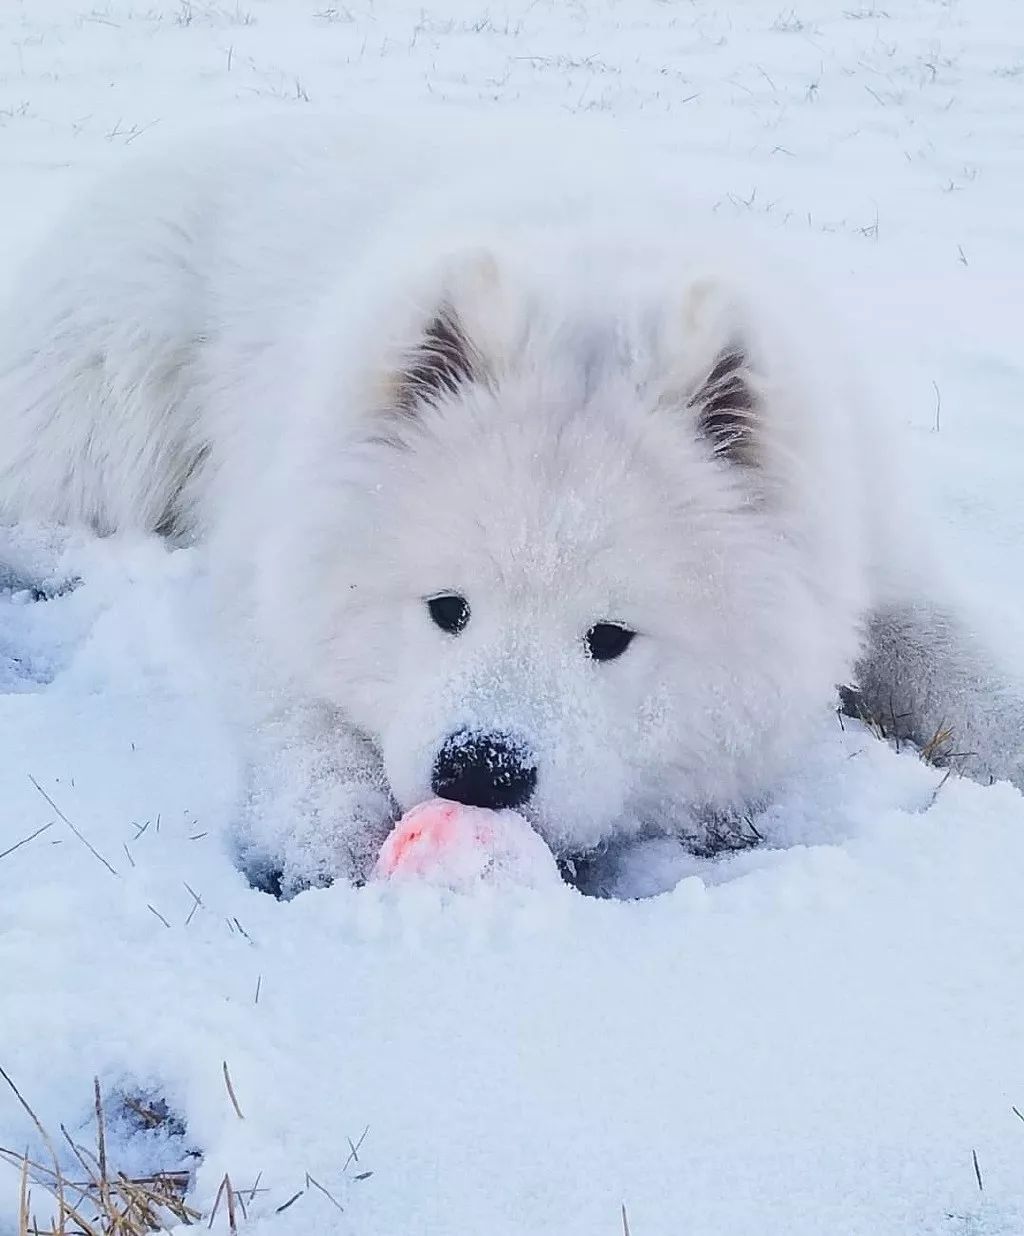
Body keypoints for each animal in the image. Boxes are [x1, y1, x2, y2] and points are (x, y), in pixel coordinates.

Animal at [0, 113, 1019, 889]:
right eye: (446, 608)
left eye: (609, 638)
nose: (481, 771)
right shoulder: (276, 557)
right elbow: (303, 714)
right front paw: (324, 836)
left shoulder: (879, 560)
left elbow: (960, 665)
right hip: (116, 386)